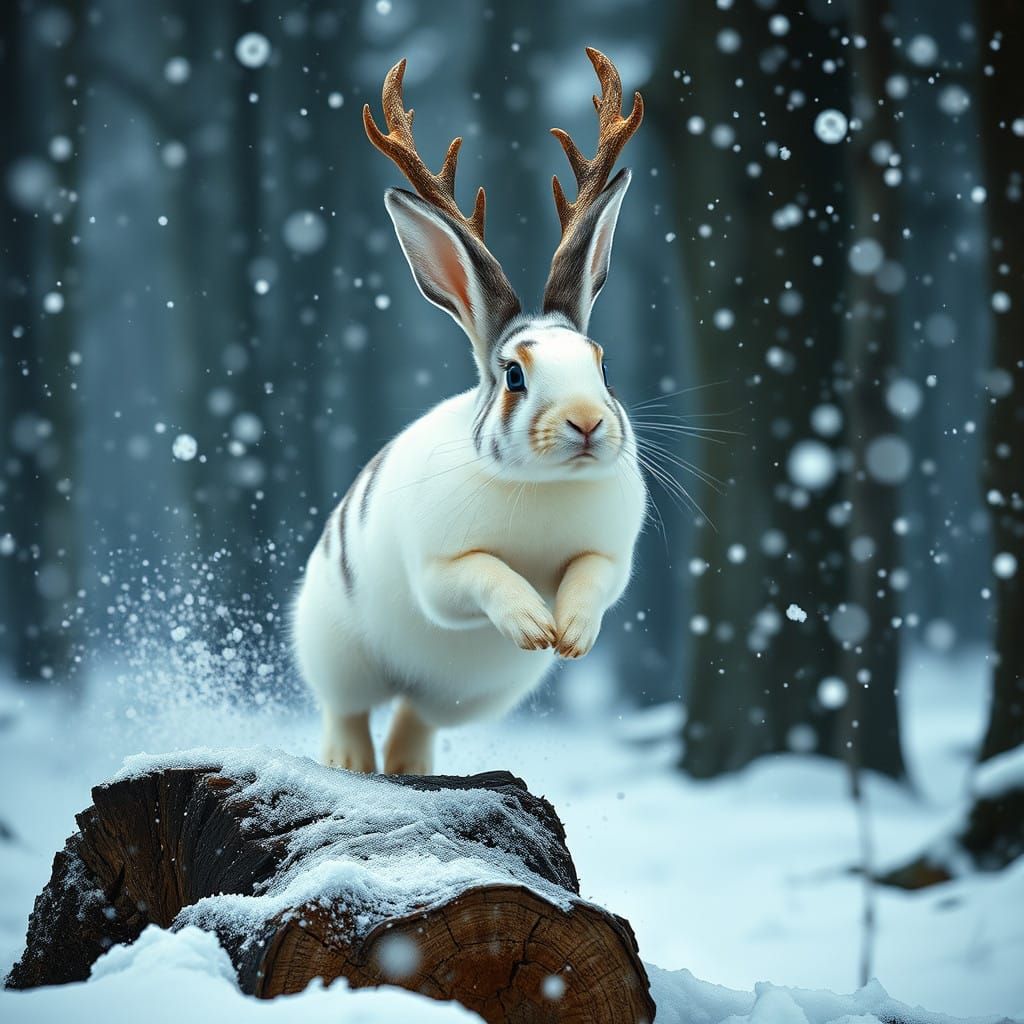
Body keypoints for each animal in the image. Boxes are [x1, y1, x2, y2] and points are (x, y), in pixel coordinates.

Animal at [292, 49, 647, 775]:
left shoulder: (609, 556)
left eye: (601, 366)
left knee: (413, 720)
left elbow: (593, 578)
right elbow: (481, 574)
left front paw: (568, 635)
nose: (587, 423)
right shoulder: (439, 571)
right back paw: (350, 764)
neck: (547, 489)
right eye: (514, 375)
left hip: (459, 700)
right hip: (335, 652)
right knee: (348, 709)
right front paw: (533, 624)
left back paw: (410, 769)